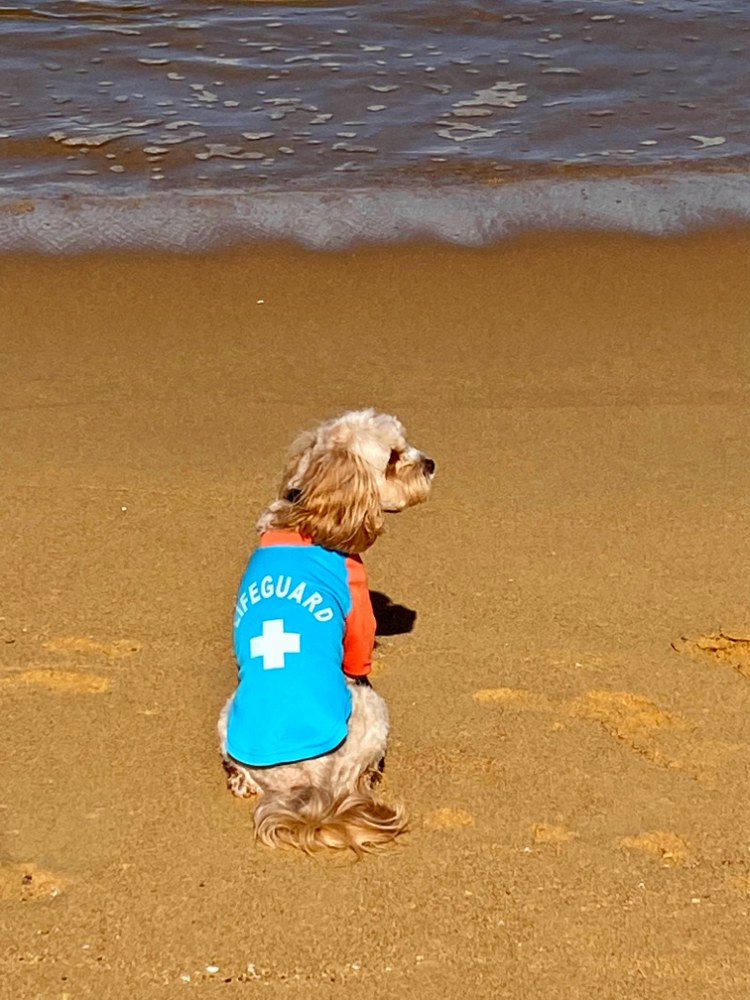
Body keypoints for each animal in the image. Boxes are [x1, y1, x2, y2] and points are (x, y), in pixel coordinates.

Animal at [217, 410, 434, 856]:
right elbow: (360, 653)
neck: (308, 513)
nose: (431, 464)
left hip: (225, 718)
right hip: (373, 709)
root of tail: (308, 787)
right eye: (393, 458)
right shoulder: (357, 614)